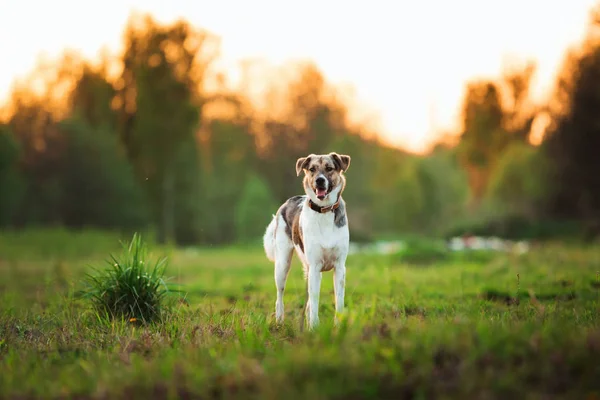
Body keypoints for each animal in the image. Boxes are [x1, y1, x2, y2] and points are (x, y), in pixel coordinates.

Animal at [260, 152, 350, 330]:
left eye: (329, 168)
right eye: (312, 169)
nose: (319, 180)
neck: (324, 210)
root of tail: (286, 202)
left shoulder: (339, 267)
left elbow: (339, 299)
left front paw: (338, 326)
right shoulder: (315, 266)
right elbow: (314, 300)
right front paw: (314, 328)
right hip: (282, 265)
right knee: (280, 296)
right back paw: (279, 322)